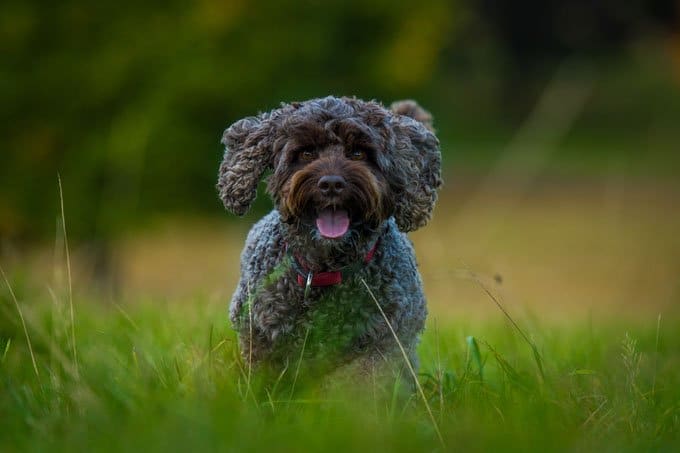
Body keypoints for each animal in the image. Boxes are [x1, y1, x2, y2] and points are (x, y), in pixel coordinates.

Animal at [216, 93, 440, 376]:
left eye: (358, 152)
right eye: (306, 152)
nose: (332, 183)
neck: (325, 271)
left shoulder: (383, 342)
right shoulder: (260, 336)